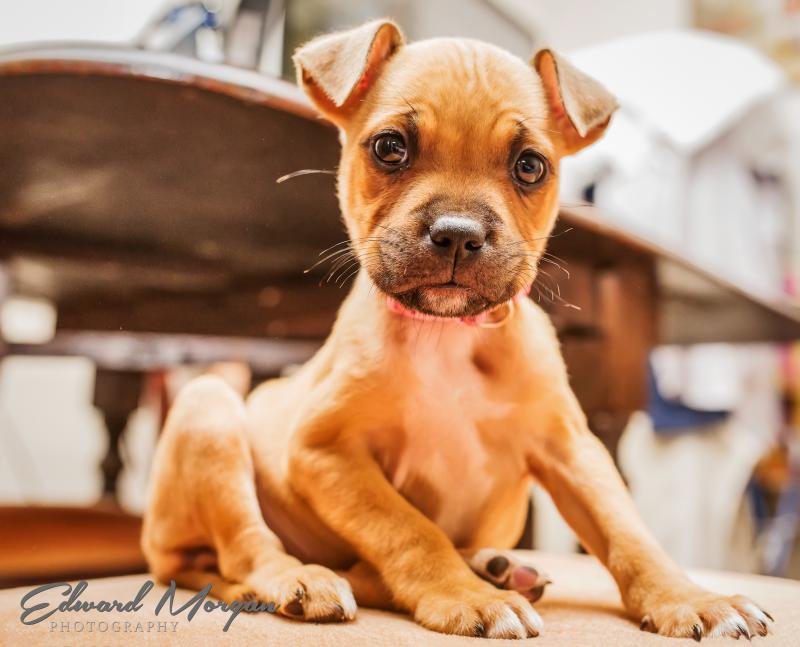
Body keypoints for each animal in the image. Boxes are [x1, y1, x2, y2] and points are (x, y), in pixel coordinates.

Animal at [144, 20, 776, 644]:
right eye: (390, 147)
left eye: (530, 165)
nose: (457, 233)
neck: (446, 333)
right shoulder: (326, 451)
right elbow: (409, 531)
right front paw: (464, 597)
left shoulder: (572, 450)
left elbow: (628, 532)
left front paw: (691, 598)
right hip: (209, 408)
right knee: (244, 556)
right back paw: (305, 580)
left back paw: (494, 567)